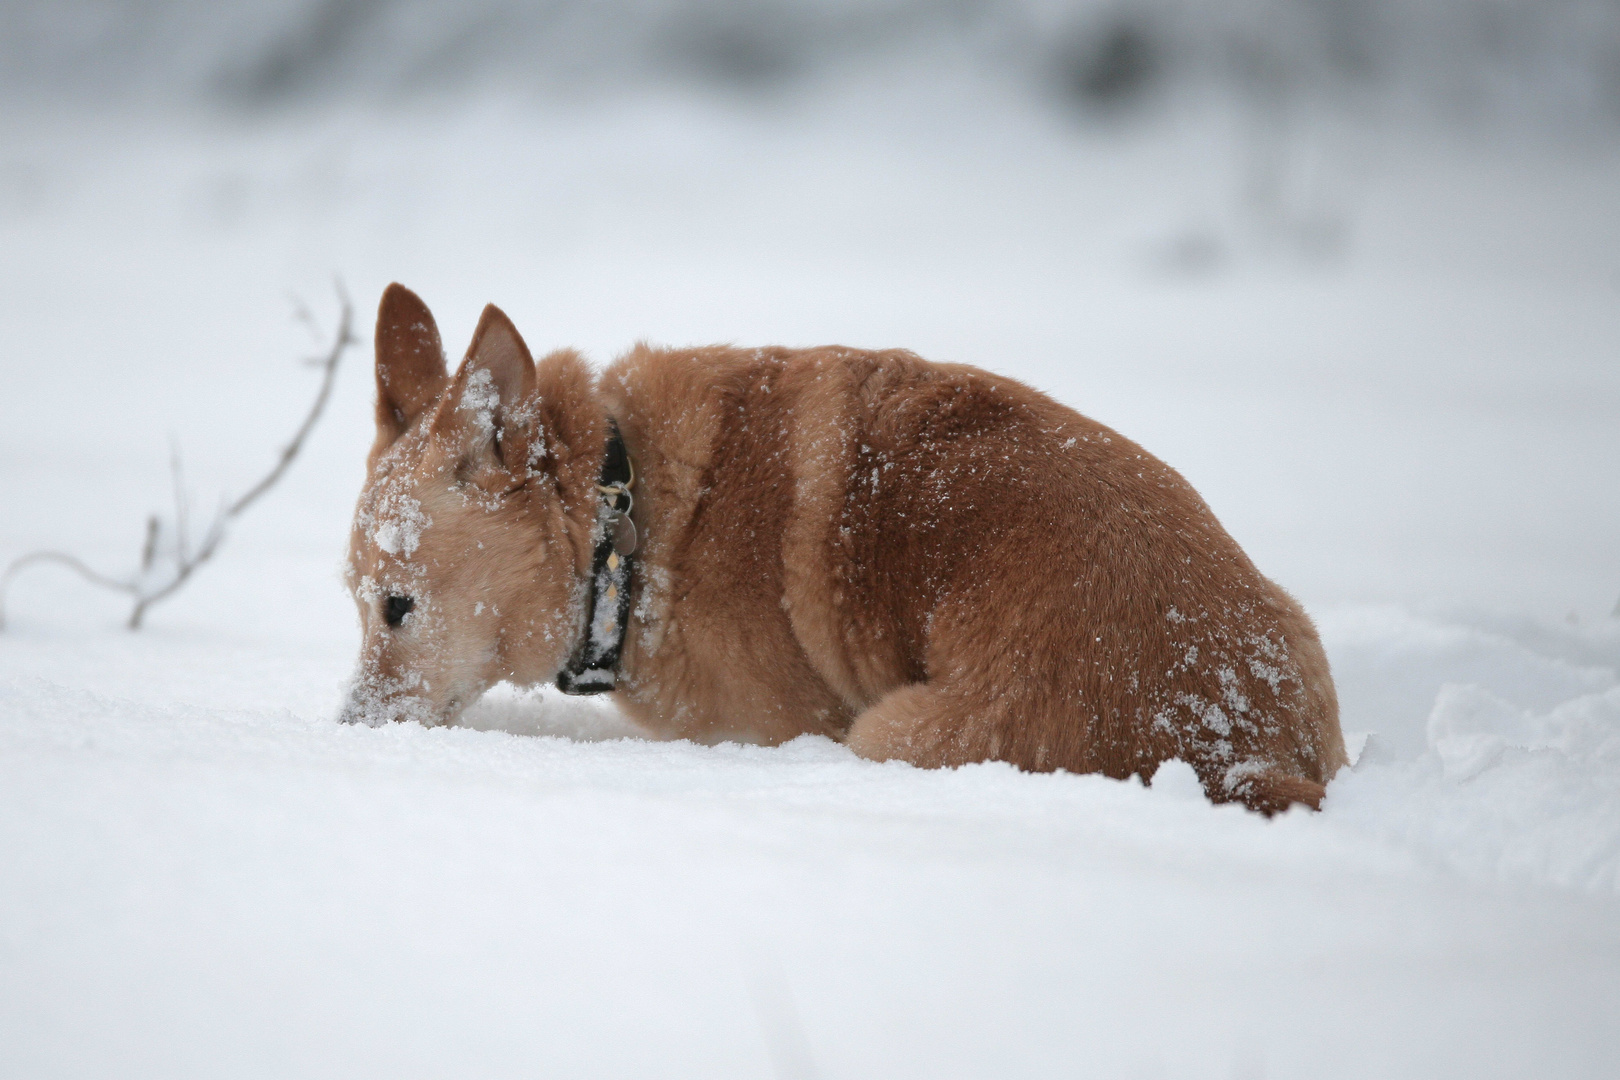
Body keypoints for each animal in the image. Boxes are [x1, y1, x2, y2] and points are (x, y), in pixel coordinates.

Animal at [348, 284, 1347, 809]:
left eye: (397, 607)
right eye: (357, 607)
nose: (346, 732)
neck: (623, 533)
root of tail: (1236, 741)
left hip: (890, 734)